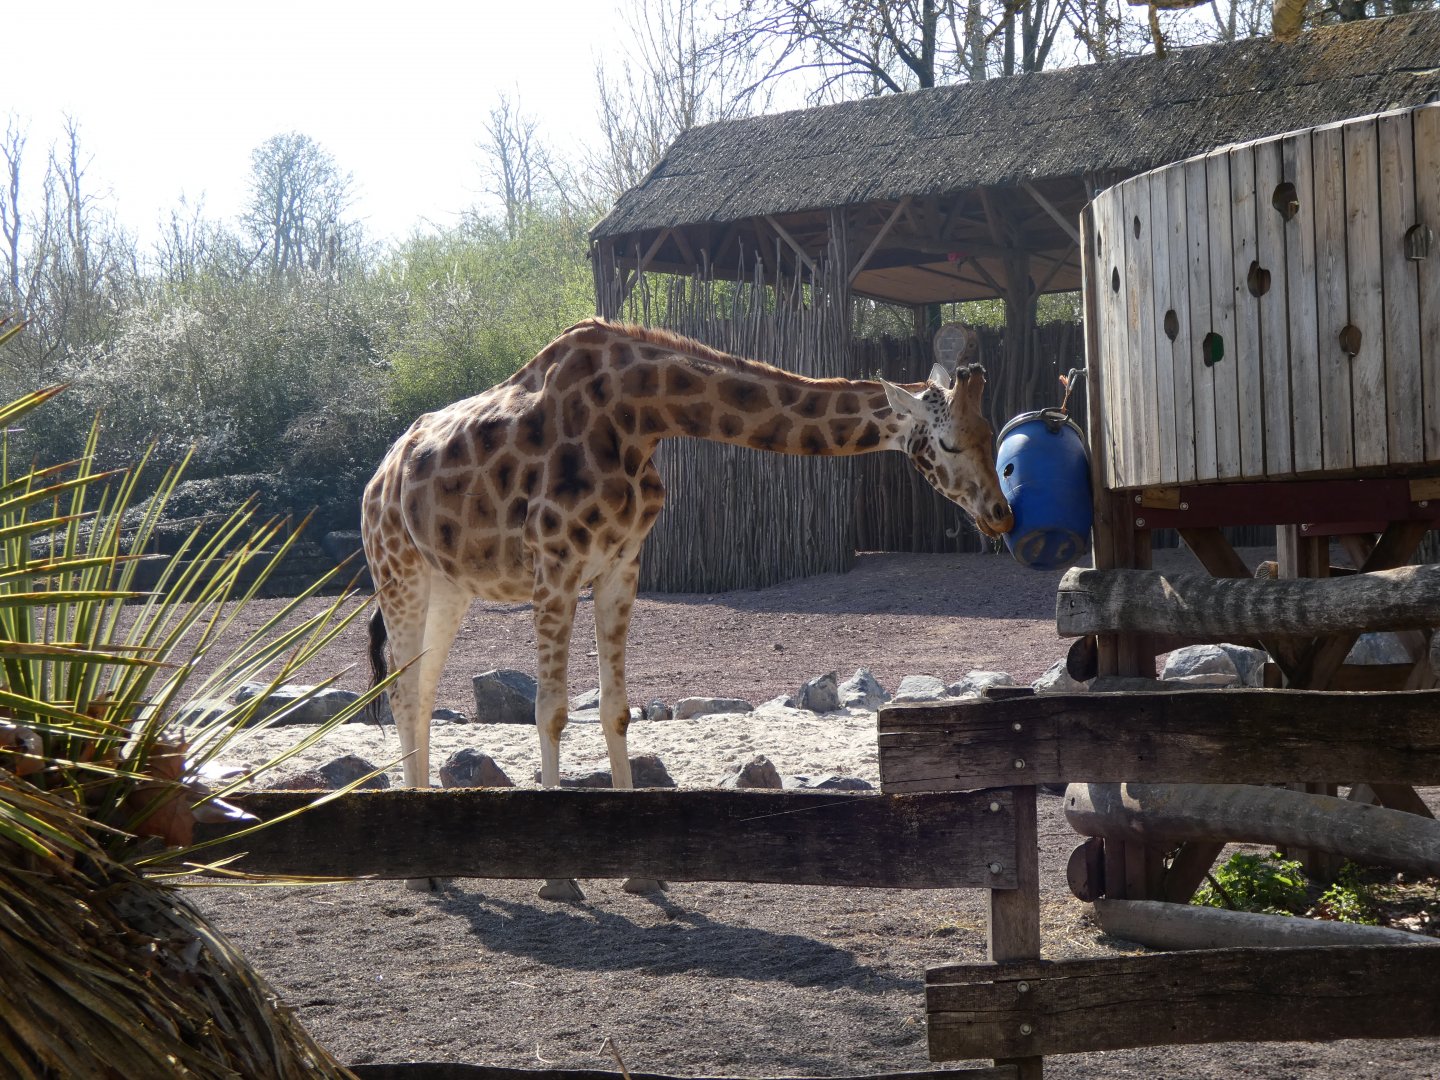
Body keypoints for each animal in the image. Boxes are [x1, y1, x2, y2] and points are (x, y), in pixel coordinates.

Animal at [361, 318, 1014, 898]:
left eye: (993, 434)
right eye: (950, 441)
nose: (1002, 514)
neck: (640, 415)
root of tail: (381, 474)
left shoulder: (621, 566)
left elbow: (617, 711)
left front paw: (642, 873)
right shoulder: (556, 568)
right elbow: (551, 713)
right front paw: (559, 878)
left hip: (450, 586)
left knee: (420, 690)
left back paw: (432, 859)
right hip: (399, 571)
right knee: (401, 692)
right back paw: (417, 871)